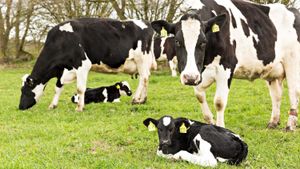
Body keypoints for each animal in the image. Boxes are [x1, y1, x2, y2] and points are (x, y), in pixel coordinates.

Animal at [18, 18, 154, 111]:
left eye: (24, 90)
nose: (20, 107)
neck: (61, 41)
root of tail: (147, 23)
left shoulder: (82, 65)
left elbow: (80, 88)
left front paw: (79, 107)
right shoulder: (62, 70)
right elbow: (58, 88)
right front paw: (52, 105)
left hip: (141, 59)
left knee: (144, 78)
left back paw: (136, 99)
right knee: (146, 77)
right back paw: (143, 100)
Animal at [151, 0, 300, 131]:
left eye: (203, 42)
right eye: (177, 41)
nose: (190, 78)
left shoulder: (226, 68)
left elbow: (219, 101)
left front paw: (220, 127)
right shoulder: (200, 73)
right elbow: (199, 95)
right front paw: (210, 121)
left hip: (293, 63)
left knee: (293, 92)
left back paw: (290, 125)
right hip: (272, 71)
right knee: (276, 95)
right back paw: (273, 122)